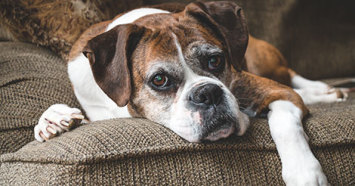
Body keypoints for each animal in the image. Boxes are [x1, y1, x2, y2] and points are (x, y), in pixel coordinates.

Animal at [32, 1, 348, 185]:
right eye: (159, 80)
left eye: (216, 61)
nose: (207, 93)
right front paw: (53, 120)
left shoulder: (276, 92)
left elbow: (284, 124)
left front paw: (305, 173)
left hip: (266, 63)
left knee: (292, 76)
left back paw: (327, 92)